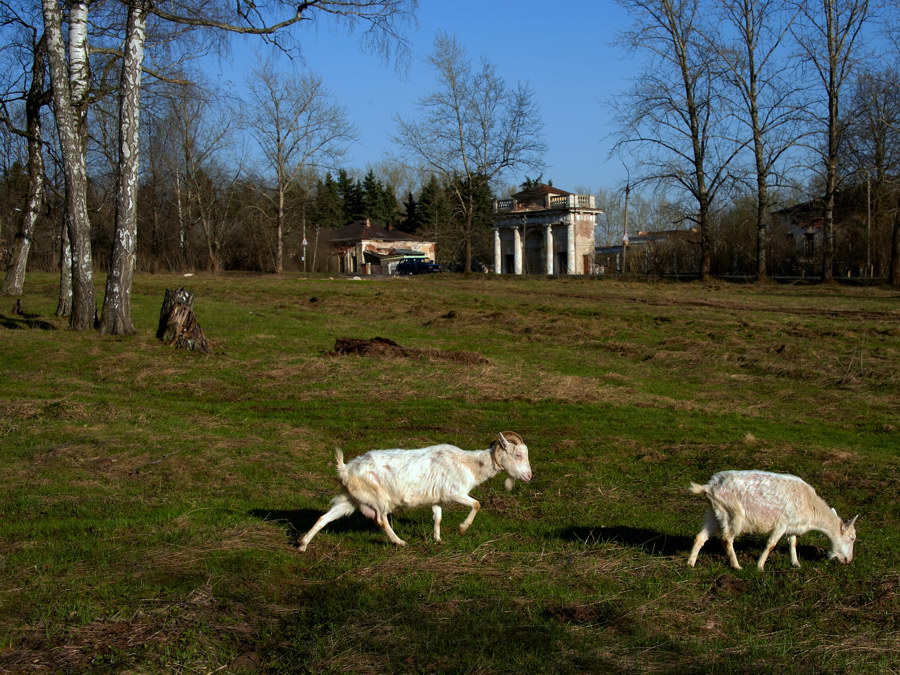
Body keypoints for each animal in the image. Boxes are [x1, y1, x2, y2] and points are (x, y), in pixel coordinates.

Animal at [298, 434, 532, 548]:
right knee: (381, 519)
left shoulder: (437, 498)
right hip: (377, 497)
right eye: (518, 455)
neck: (470, 463)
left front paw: (438, 540)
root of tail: (345, 469)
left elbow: (437, 518)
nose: (529, 476)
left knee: (325, 517)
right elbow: (476, 504)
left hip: (351, 498)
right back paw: (400, 542)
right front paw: (462, 529)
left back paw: (302, 544)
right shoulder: (454, 492)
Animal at [688, 472, 856, 572]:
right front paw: (760, 567)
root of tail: (709, 487)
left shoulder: (791, 526)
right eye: (852, 538)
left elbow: (792, 543)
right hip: (733, 515)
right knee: (726, 539)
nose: (848, 560)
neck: (810, 507)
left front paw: (796, 563)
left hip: (713, 513)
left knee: (700, 537)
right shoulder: (782, 523)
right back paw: (737, 566)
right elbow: (771, 544)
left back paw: (690, 564)